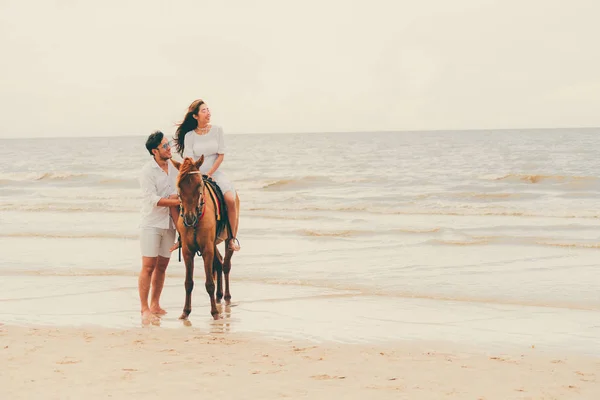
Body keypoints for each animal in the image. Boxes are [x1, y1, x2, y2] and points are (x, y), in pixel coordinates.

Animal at [169, 155, 239, 318]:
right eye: (179, 186)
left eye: (199, 184)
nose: (189, 218)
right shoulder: (188, 251)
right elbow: (188, 283)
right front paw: (185, 312)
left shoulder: (207, 249)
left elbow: (209, 283)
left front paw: (214, 313)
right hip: (213, 244)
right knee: (219, 263)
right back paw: (219, 296)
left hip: (227, 238)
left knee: (226, 265)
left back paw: (226, 297)